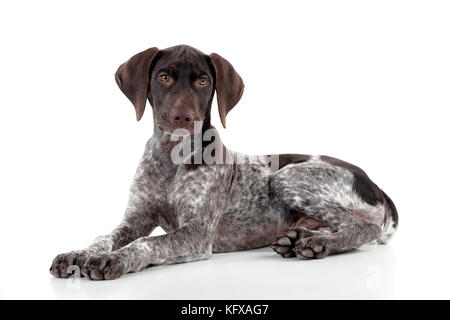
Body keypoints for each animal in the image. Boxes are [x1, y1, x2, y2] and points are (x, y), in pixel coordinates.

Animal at [51, 44, 400, 280]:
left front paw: (116, 259)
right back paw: (300, 239)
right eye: (163, 77)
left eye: (203, 82)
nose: (183, 117)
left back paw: (317, 245)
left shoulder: (196, 233)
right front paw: (78, 254)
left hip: (287, 178)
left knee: (363, 227)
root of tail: (376, 185)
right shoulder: (135, 218)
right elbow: (104, 237)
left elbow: (147, 243)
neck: (170, 159)